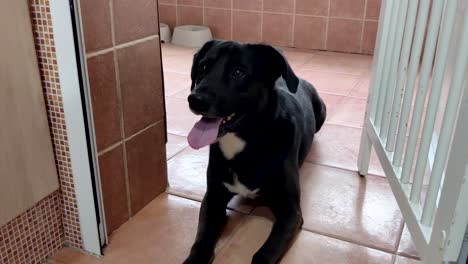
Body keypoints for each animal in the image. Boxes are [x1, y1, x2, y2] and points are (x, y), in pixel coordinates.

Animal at [183, 40, 326, 262]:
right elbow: (201, 241)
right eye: (203, 67)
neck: (244, 140)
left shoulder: (290, 212)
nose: (195, 100)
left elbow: (264, 254)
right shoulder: (213, 198)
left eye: (238, 72)